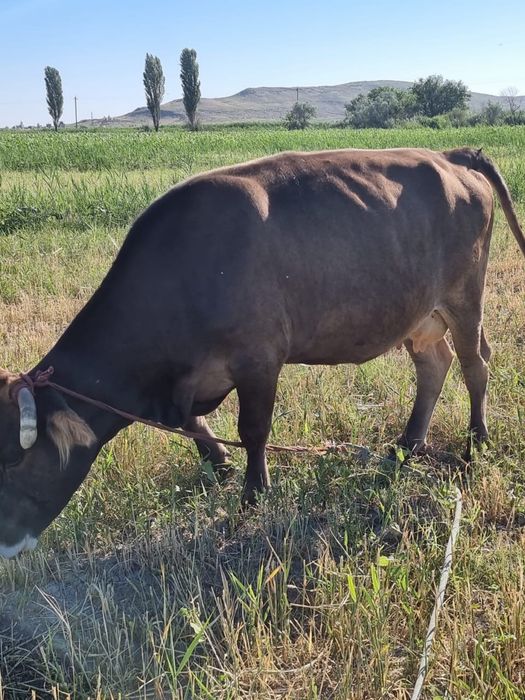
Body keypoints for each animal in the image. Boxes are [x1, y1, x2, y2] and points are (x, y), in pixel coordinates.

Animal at [0, 147, 524, 558]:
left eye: (11, 462)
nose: (6, 545)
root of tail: (452, 155)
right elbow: (196, 424)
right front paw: (219, 465)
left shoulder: (259, 358)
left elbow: (252, 430)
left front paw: (253, 496)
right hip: (420, 315)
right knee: (435, 365)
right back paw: (407, 444)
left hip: (464, 298)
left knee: (476, 363)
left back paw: (476, 441)